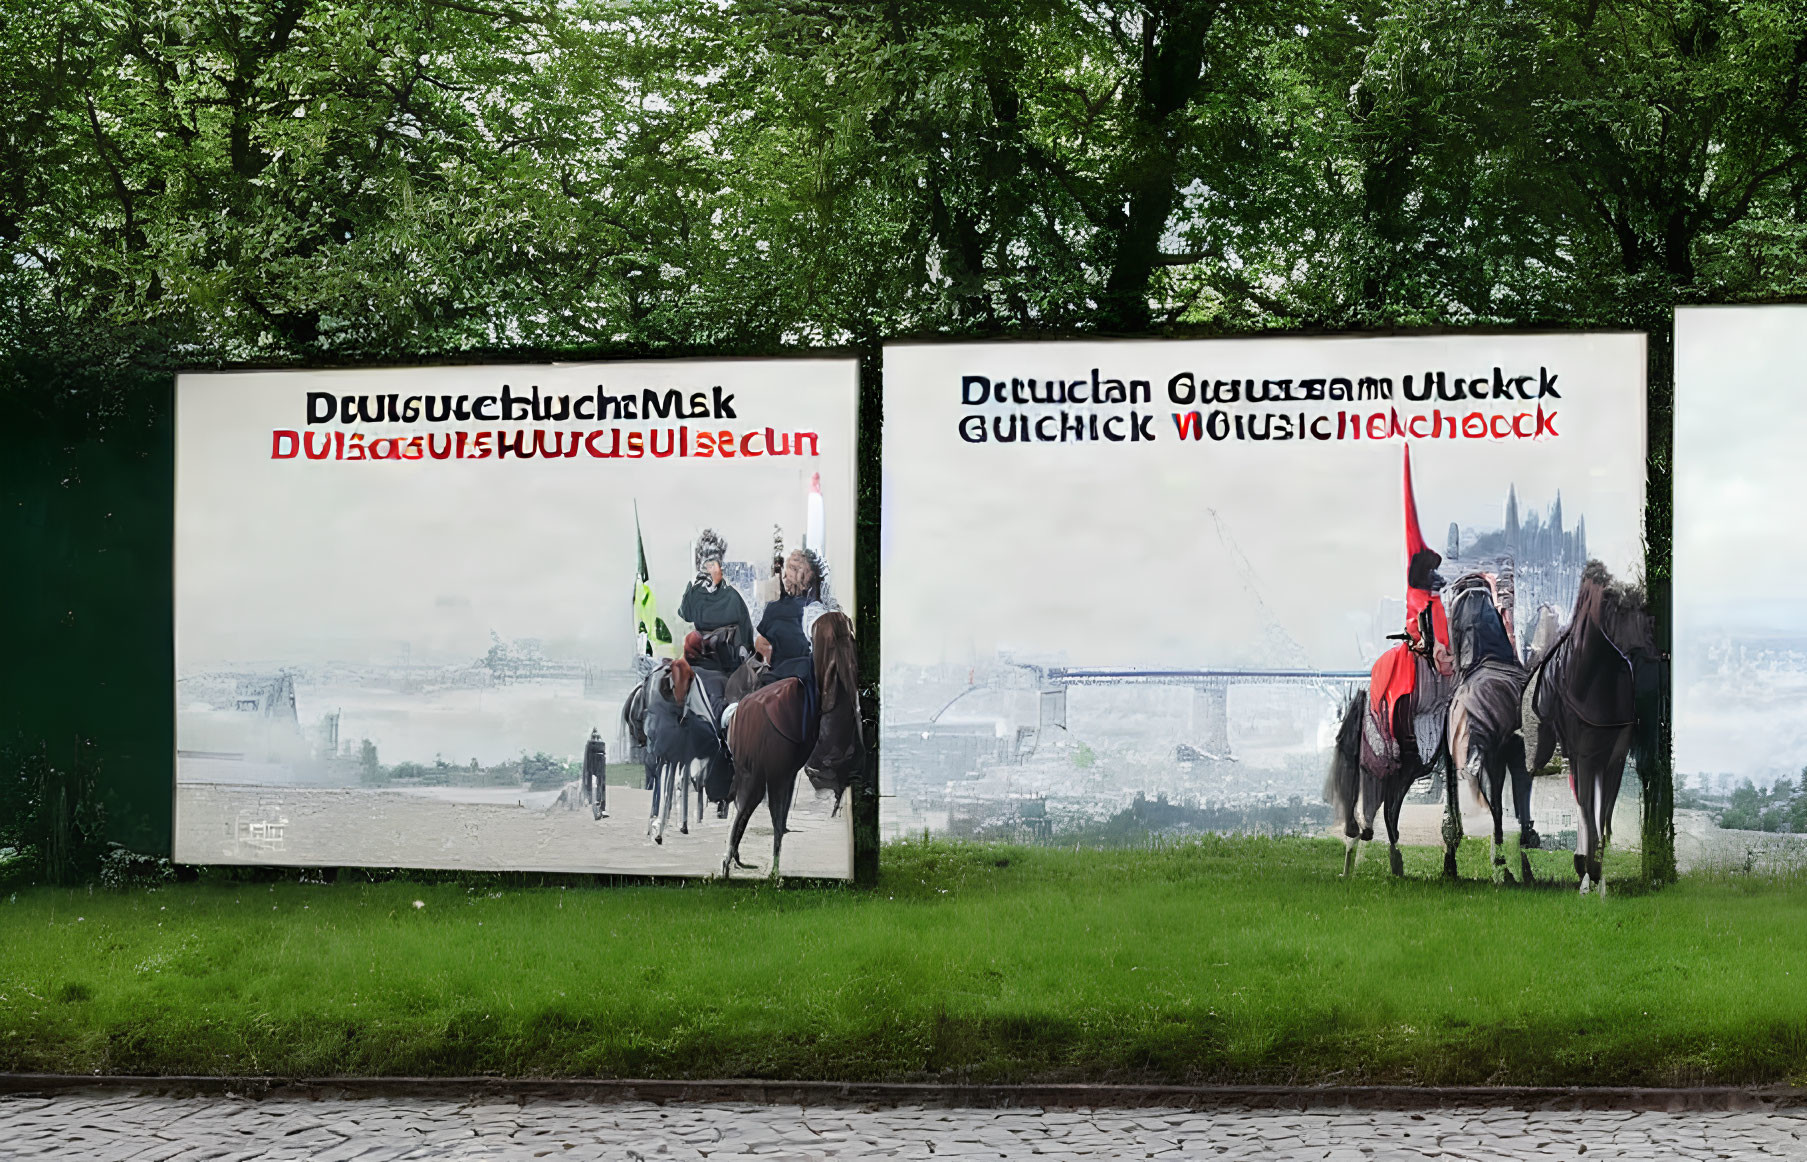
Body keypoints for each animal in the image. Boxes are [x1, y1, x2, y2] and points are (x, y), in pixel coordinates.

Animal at [719, 614, 860, 878]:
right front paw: (774, 870)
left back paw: (735, 860)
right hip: (760, 773)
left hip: (755, 772)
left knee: (743, 808)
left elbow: (778, 815)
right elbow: (775, 817)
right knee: (745, 808)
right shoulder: (778, 773)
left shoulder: (783, 772)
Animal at [1438, 571, 1539, 881]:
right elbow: (1519, 806)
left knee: (1483, 813)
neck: (1488, 656)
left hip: (1482, 762)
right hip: (1501, 759)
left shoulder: (1451, 757)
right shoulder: (1516, 755)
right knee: (1506, 812)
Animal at [1517, 560, 1655, 896]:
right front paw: (1587, 869)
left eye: (1644, 607)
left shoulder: (1613, 758)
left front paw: (1595, 869)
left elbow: (1602, 812)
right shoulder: (1584, 755)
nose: (1654, 647)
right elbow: (1587, 810)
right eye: (1619, 608)